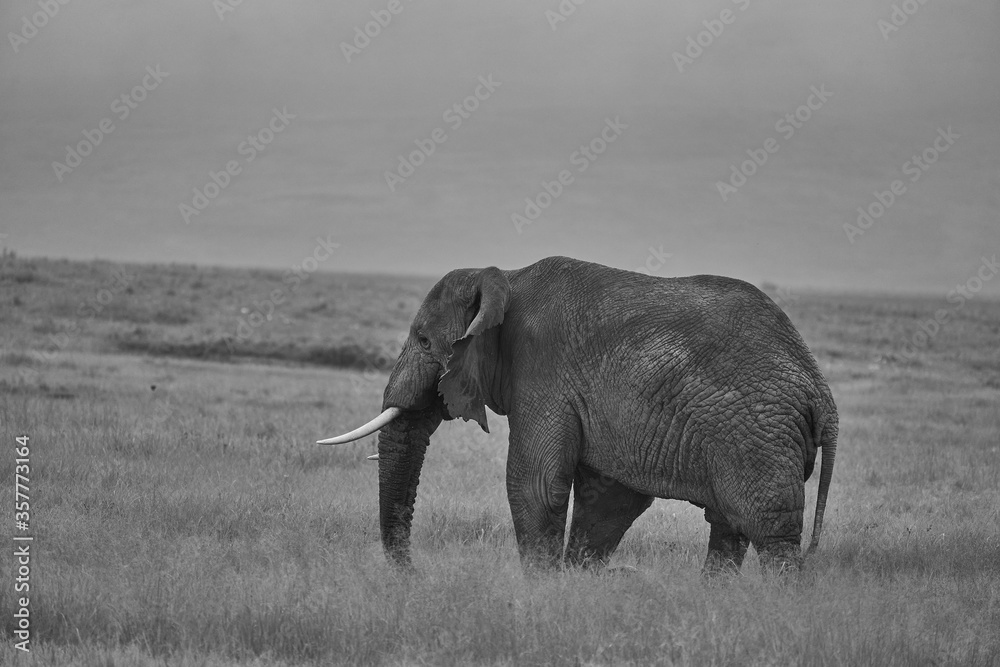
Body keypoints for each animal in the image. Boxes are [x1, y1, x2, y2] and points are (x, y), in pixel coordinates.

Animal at [320, 256, 837, 574]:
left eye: (425, 341)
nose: (415, 576)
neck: (504, 277)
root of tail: (822, 395)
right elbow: (608, 501)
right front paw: (573, 589)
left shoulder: (543, 369)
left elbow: (534, 481)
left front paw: (542, 594)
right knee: (728, 528)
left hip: (757, 436)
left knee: (769, 530)